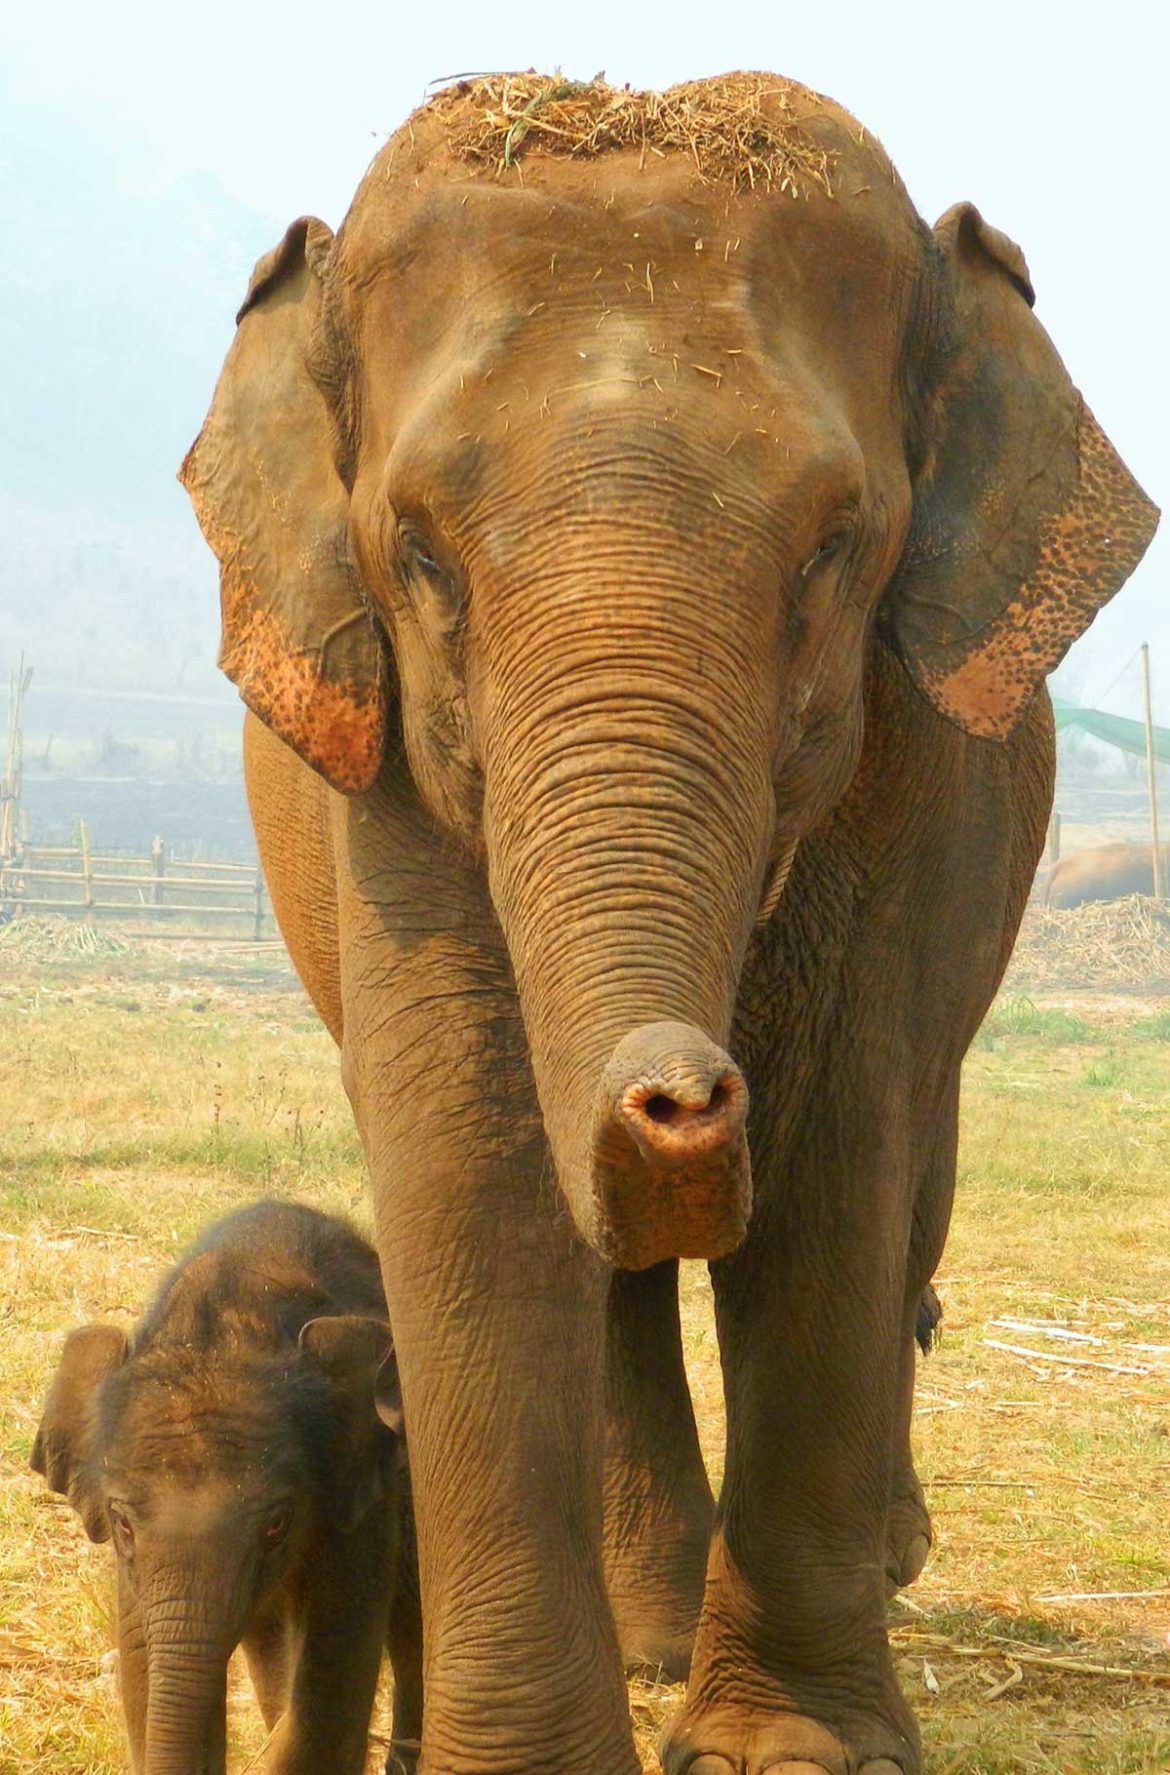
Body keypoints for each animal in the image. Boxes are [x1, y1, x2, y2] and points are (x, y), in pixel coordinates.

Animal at [30, 1199, 426, 1767]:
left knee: (411, 1627)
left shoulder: (361, 1504)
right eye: (122, 1524)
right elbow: (142, 1673)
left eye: (277, 1525)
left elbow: (331, 1686)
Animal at [181, 72, 1150, 1775]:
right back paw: (651, 1627)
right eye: (416, 551)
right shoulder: (394, 781)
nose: (679, 1090)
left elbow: (837, 1147)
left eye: (836, 543)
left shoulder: (914, 775)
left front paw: (794, 1750)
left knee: (912, 1174)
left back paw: (874, 1562)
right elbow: (470, 1149)